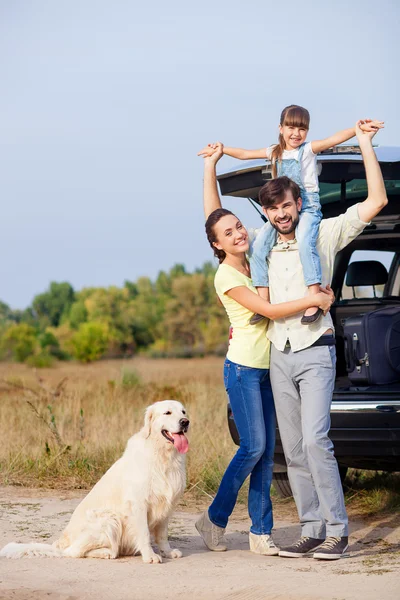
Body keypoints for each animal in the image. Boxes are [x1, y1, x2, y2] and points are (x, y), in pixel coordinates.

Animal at [0, 400, 190, 564]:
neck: (164, 456)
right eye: (167, 412)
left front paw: (167, 552)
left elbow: (162, 535)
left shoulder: (166, 506)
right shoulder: (139, 504)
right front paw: (150, 555)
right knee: (74, 552)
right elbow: (143, 533)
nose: (185, 422)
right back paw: (106, 552)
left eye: (183, 412)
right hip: (109, 518)